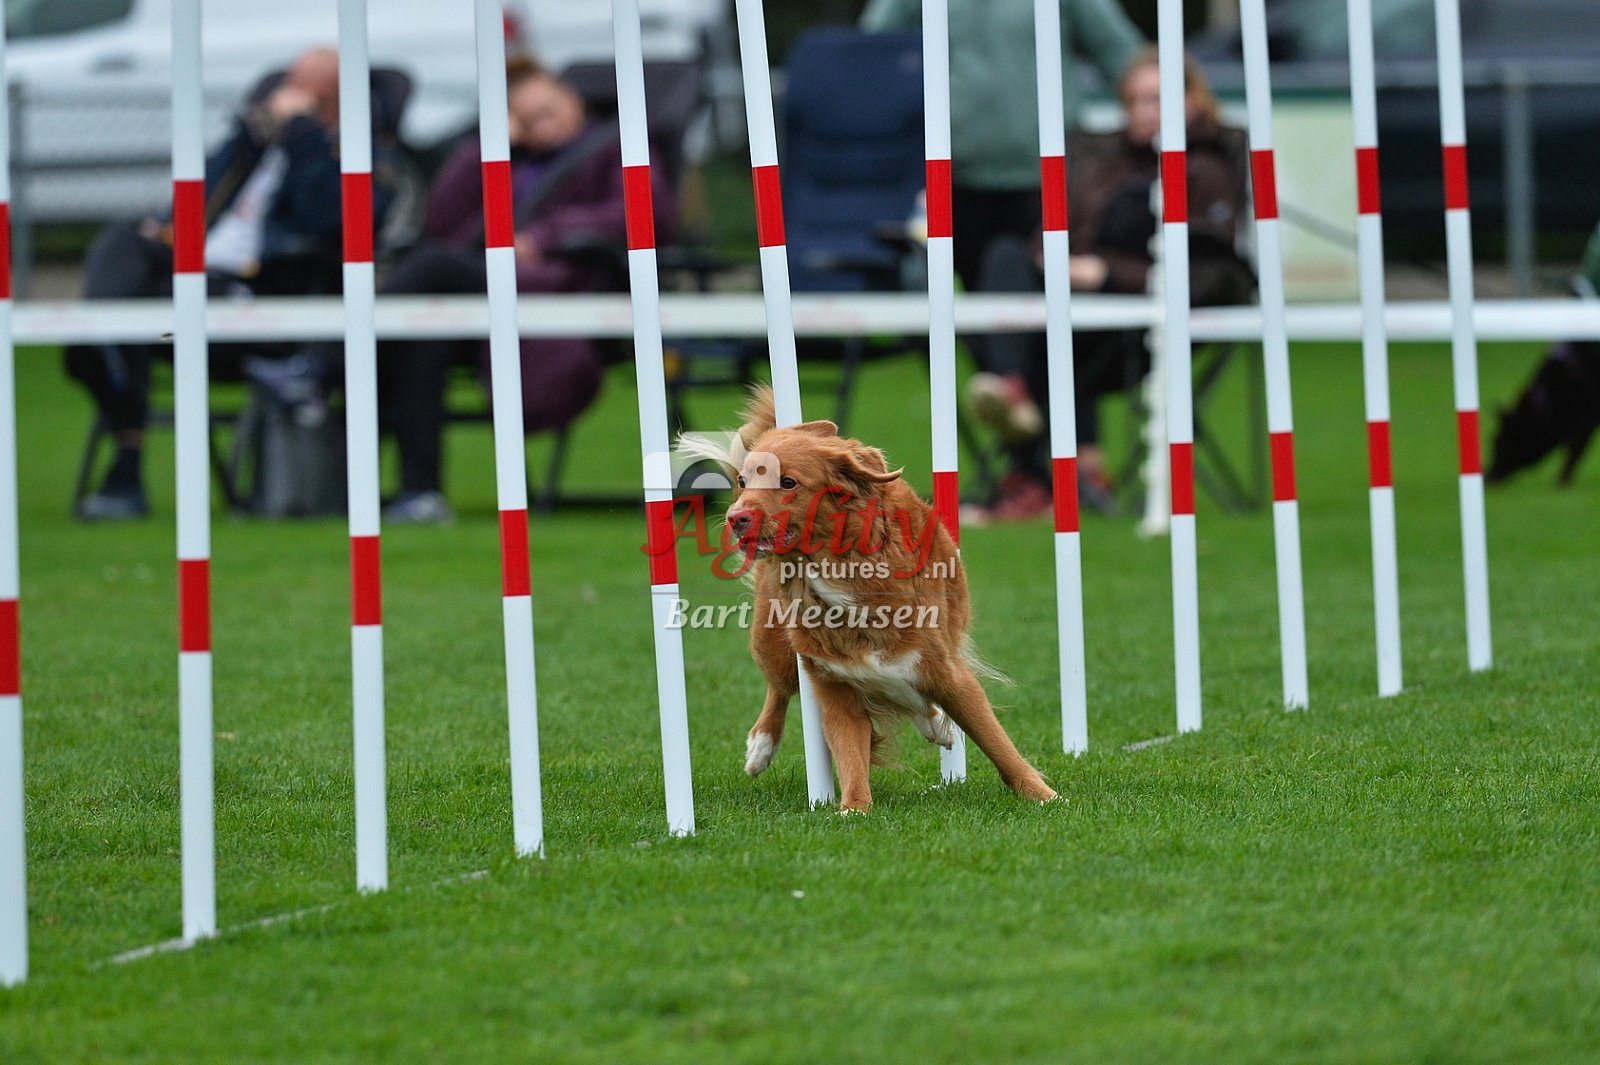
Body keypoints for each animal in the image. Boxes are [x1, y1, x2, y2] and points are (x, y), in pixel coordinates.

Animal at [684, 386, 1056, 813]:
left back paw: (934, 722)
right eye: (744, 481)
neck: (836, 571)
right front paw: (853, 809)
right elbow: (850, 755)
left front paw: (1044, 796)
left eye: (789, 482)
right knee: (779, 688)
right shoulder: (835, 686)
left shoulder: (950, 673)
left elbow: (998, 743)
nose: (735, 518)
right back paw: (761, 746)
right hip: (772, 641)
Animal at [1488, 340, 1600, 486]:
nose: (1487, 478)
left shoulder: (1584, 423)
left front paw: (1562, 481)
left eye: (1501, 443)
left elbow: (1572, 452)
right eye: (1492, 444)